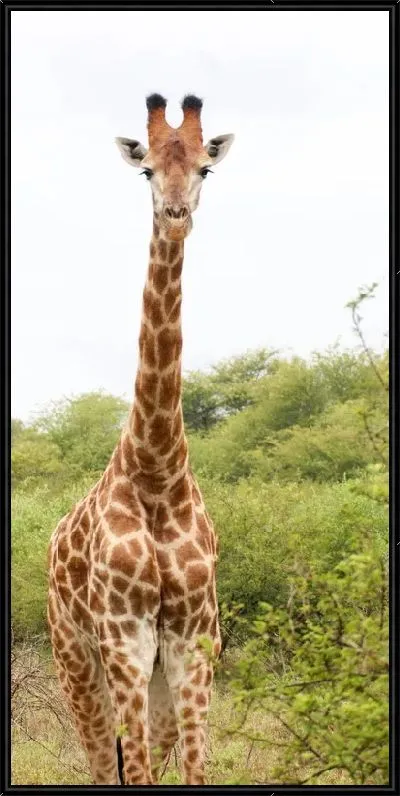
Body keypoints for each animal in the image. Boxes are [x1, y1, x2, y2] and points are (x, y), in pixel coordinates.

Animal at [47, 93, 234, 787]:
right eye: (147, 170)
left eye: (205, 168)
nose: (177, 218)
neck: (156, 466)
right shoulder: (125, 638)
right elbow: (140, 774)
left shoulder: (192, 640)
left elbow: (196, 772)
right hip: (75, 660)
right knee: (105, 764)